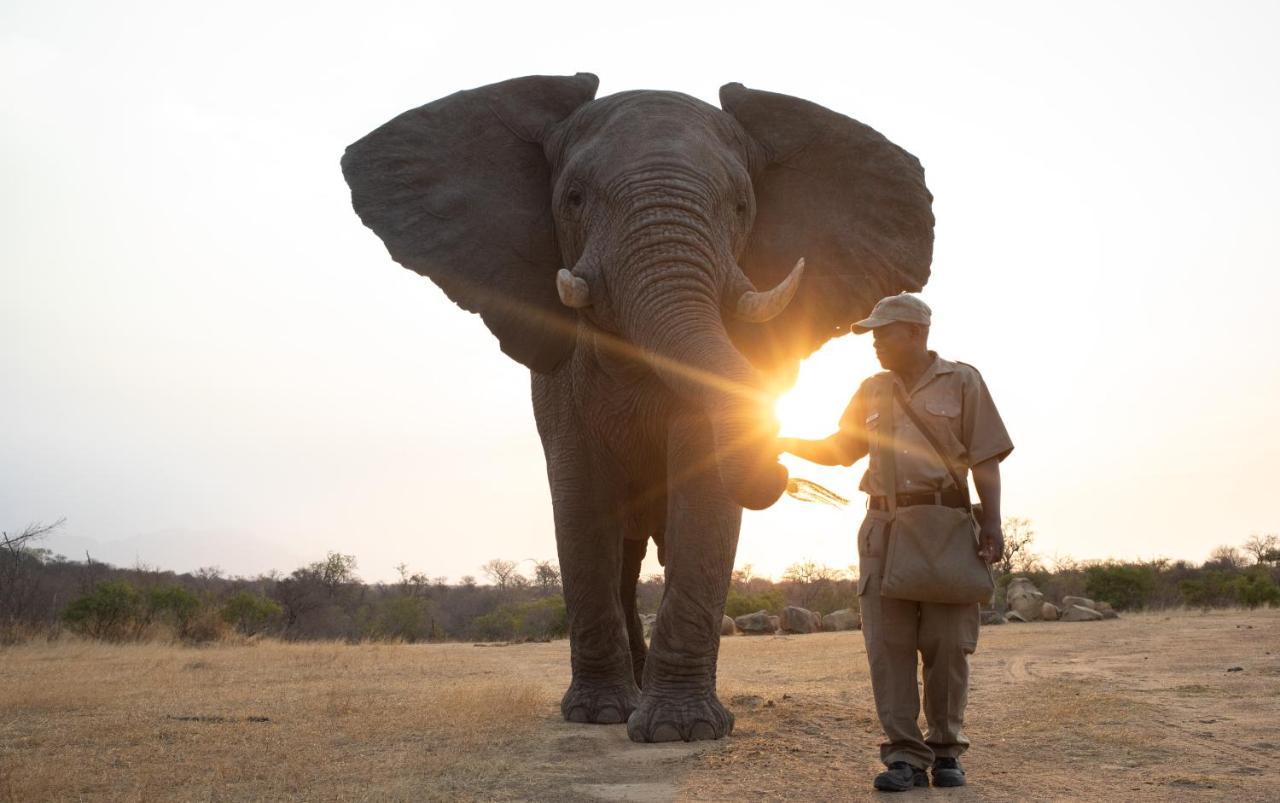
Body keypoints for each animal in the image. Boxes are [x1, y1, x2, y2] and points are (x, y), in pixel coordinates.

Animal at [343, 73, 931, 742]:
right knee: (625, 556)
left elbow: (702, 492)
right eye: (573, 199)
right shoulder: (559, 382)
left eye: (740, 207)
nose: (780, 468)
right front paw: (597, 716)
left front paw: (681, 731)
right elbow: (579, 500)